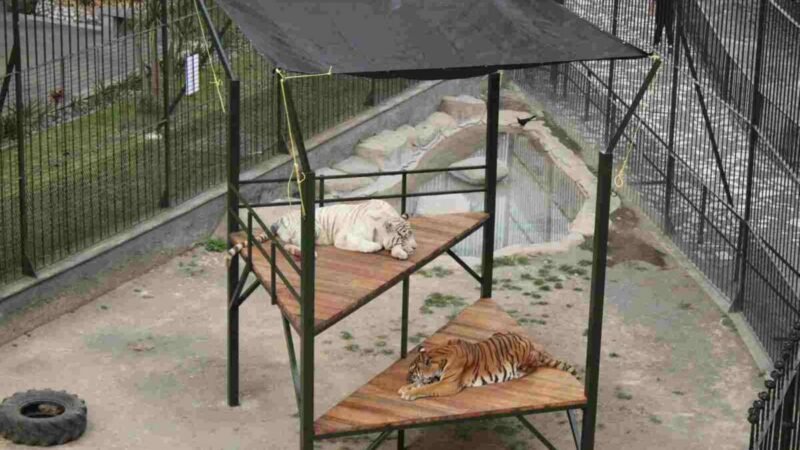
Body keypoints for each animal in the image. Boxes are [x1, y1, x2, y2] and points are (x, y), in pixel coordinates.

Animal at [226, 199, 417, 263]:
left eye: (411, 234)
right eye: (403, 236)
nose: (415, 248)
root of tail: (279, 219)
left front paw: (400, 253)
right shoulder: (344, 237)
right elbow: (364, 243)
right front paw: (376, 246)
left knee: (286, 245)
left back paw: (296, 252)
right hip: (313, 228)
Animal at [398, 331, 577, 401]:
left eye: (412, 370)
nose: (405, 378)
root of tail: (532, 345)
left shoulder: (448, 384)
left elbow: (426, 387)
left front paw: (409, 392)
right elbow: (423, 384)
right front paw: (405, 388)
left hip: (528, 358)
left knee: (534, 365)